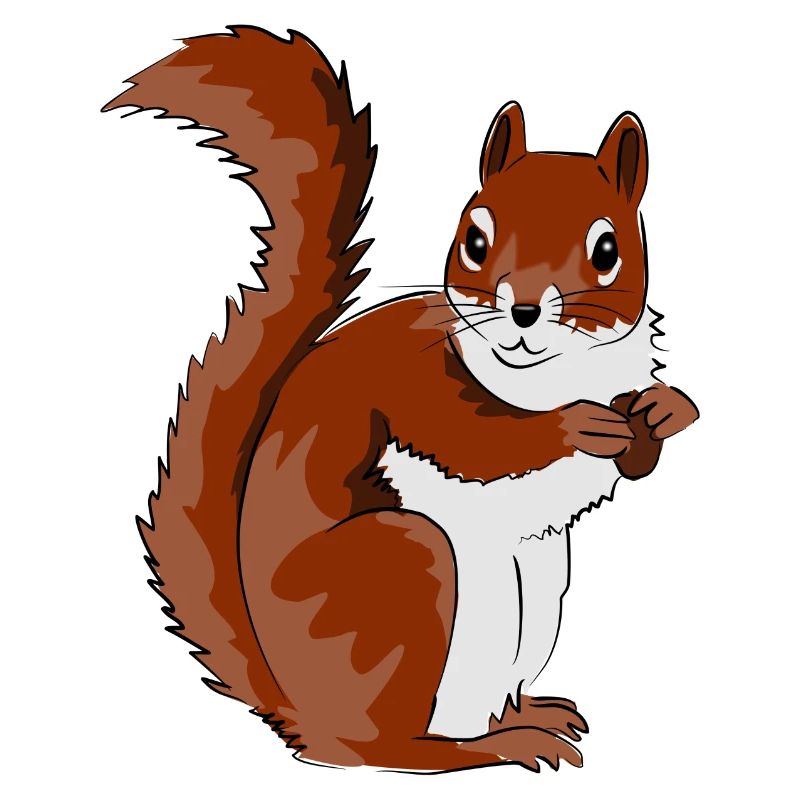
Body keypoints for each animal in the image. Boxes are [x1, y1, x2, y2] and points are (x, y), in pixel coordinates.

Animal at [104, 25, 699, 773]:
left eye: (608, 250)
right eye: (475, 239)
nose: (524, 310)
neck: (550, 374)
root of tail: (298, 713)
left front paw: (664, 411)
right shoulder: (414, 384)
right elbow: (478, 443)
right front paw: (573, 428)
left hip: (537, 591)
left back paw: (526, 716)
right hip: (407, 573)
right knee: (388, 747)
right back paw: (487, 747)